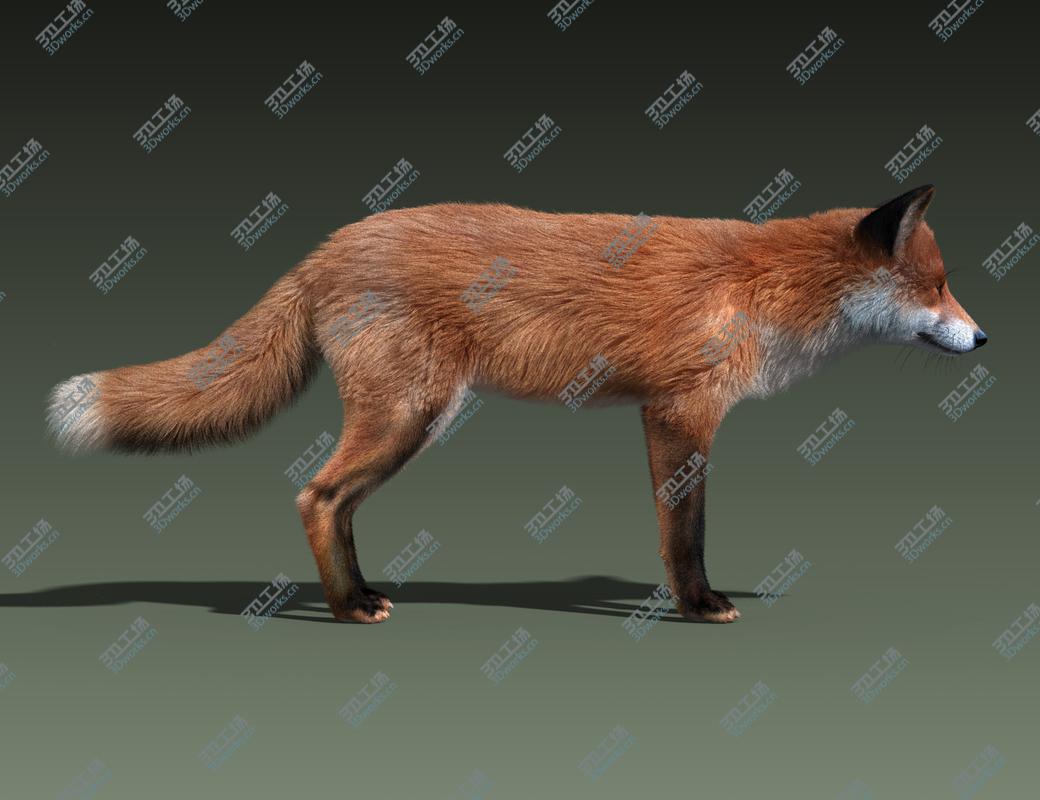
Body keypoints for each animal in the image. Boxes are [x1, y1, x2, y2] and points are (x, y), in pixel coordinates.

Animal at [47, 184, 986, 624]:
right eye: (935, 287)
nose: (984, 340)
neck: (761, 287)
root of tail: (326, 247)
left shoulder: (668, 414)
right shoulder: (678, 412)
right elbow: (684, 532)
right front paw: (697, 604)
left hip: (415, 421)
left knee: (336, 505)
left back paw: (362, 591)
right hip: (407, 417)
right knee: (316, 496)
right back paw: (347, 608)